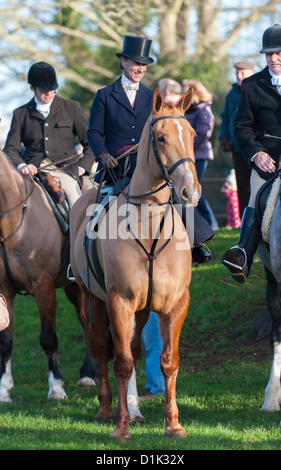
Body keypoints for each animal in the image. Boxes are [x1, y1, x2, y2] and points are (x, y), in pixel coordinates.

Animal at [0, 151, 95, 404]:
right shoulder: (4, 290)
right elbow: (6, 340)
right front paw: (4, 388)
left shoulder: (43, 286)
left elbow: (48, 338)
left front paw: (56, 388)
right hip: (72, 287)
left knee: (88, 323)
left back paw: (89, 374)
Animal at [70, 87, 201, 440]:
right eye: (161, 137)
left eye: (193, 135)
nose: (191, 191)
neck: (149, 227)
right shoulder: (119, 301)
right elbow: (122, 362)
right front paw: (121, 427)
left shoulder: (175, 303)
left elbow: (168, 361)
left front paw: (173, 424)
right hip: (94, 299)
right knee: (103, 347)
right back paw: (107, 410)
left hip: (141, 311)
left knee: (130, 346)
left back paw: (136, 412)